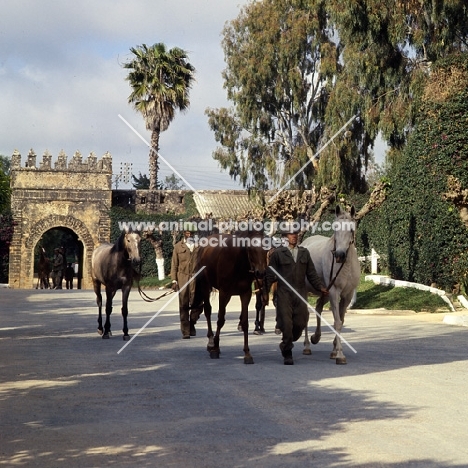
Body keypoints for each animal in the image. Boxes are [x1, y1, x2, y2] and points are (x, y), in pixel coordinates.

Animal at [193, 230, 266, 366]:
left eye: (266, 247)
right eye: (250, 248)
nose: (261, 273)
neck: (239, 263)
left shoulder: (245, 294)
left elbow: (245, 322)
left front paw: (247, 353)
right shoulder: (224, 292)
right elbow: (220, 319)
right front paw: (216, 348)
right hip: (206, 286)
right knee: (208, 311)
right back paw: (211, 341)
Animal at [302, 206, 360, 366]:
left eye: (351, 229)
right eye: (335, 229)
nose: (339, 255)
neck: (345, 266)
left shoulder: (347, 295)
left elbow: (341, 320)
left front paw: (334, 350)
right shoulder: (334, 292)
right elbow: (338, 322)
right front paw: (340, 354)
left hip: (324, 292)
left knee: (318, 308)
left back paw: (316, 337)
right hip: (306, 290)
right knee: (306, 315)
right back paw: (307, 346)